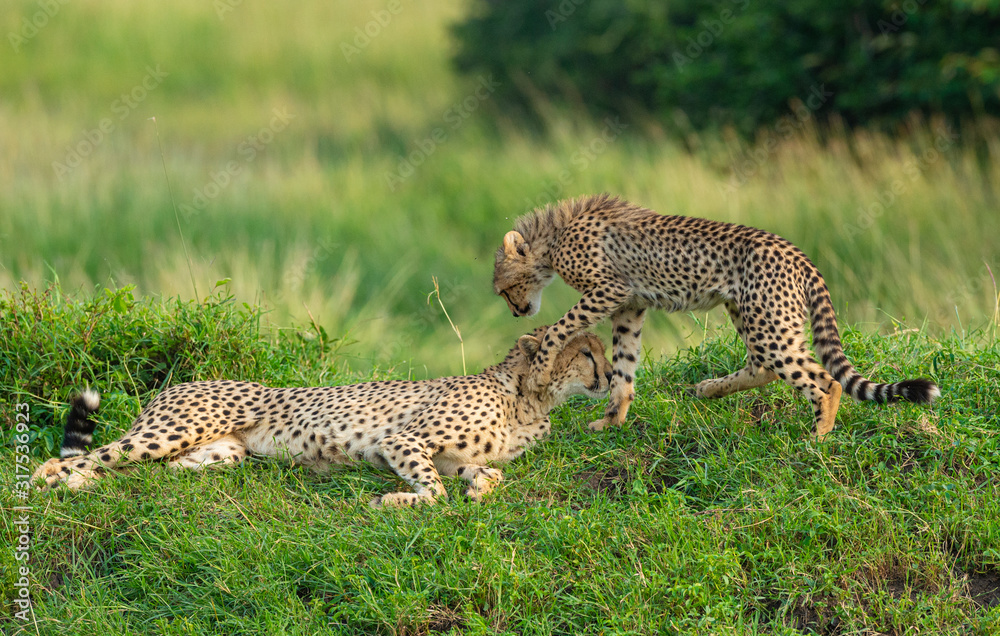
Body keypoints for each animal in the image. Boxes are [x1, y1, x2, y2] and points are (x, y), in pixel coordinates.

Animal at [32, 327, 612, 507]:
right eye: (586, 352)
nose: (611, 376)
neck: (529, 400)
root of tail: (178, 383)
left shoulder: (454, 456)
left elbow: (484, 475)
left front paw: (480, 487)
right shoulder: (400, 442)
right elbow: (434, 491)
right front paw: (393, 501)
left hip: (219, 454)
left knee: (146, 473)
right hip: (172, 429)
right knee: (69, 463)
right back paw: (62, 483)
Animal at [493, 194, 939, 439]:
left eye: (501, 288)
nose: (516, 312)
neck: (552, 239)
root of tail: (797, 253)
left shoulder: (610, 290)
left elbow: (559, 328)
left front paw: (540, 372)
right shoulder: (629, 304)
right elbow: (624, 364)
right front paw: (613, 420)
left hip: (769, 325)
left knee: (823, 380)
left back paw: (819, 436)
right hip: (752, 315)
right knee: (764, 368)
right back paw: (709, 389)